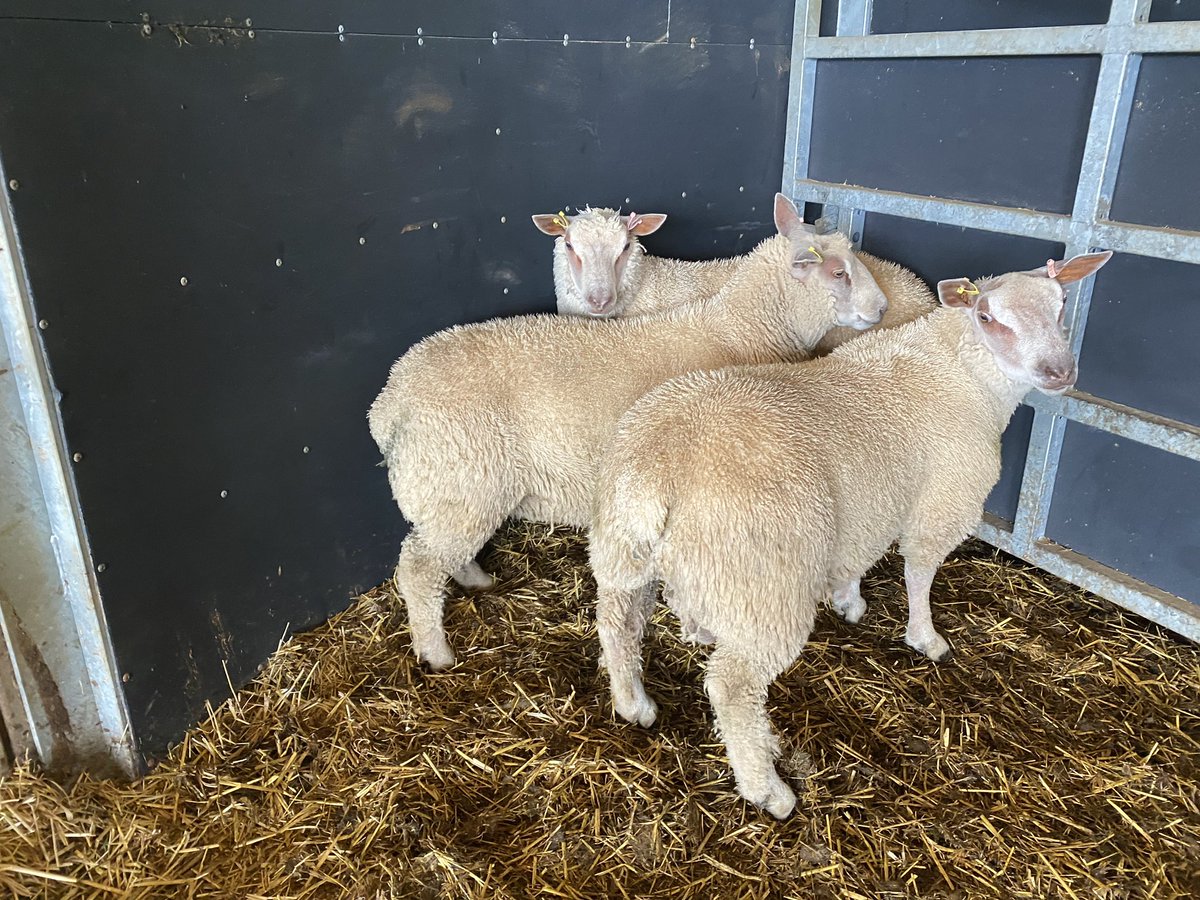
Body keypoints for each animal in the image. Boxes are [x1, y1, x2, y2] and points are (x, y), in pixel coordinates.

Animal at [369, 194, 889, 671]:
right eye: (838, 273)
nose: (882, 307)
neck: (741, 330)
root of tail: (390, 399)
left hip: (454, 492)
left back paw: (475, 581)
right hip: (460, 479)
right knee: (418, 569)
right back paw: (436, 653)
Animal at [588, 251, 1113, 819]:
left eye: (1062, 305)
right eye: (988, 316)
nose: (1060, 372)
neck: (963, 374)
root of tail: (657, 467)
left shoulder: (868, 503)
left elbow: (858, 558)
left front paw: (849, 599)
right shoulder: (942, 499)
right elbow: (920, 572)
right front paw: (925, 637)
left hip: (627, 548)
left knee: (616, 622)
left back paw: (636, 699)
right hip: (765, 579)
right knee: (732, 685)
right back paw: (767, 789)